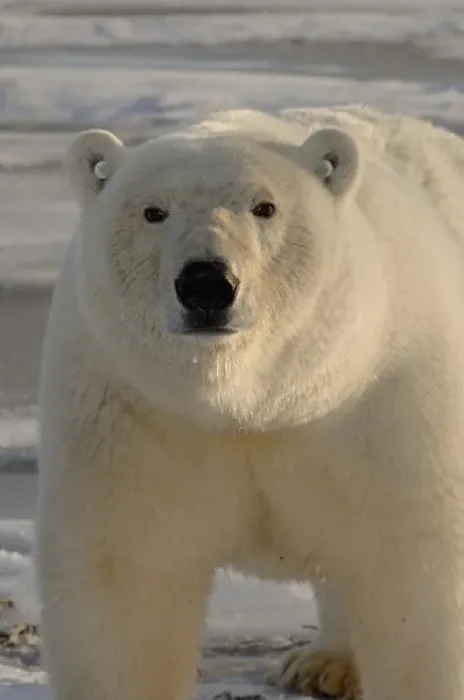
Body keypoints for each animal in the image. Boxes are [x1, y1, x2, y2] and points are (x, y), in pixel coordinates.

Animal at [36, 104, 464, 700]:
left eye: (265, 207)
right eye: (153, 211)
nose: (207, 284)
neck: (255, 401)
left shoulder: (385, 398)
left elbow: (413, 575)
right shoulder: (134, 412)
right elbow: (126, 576)